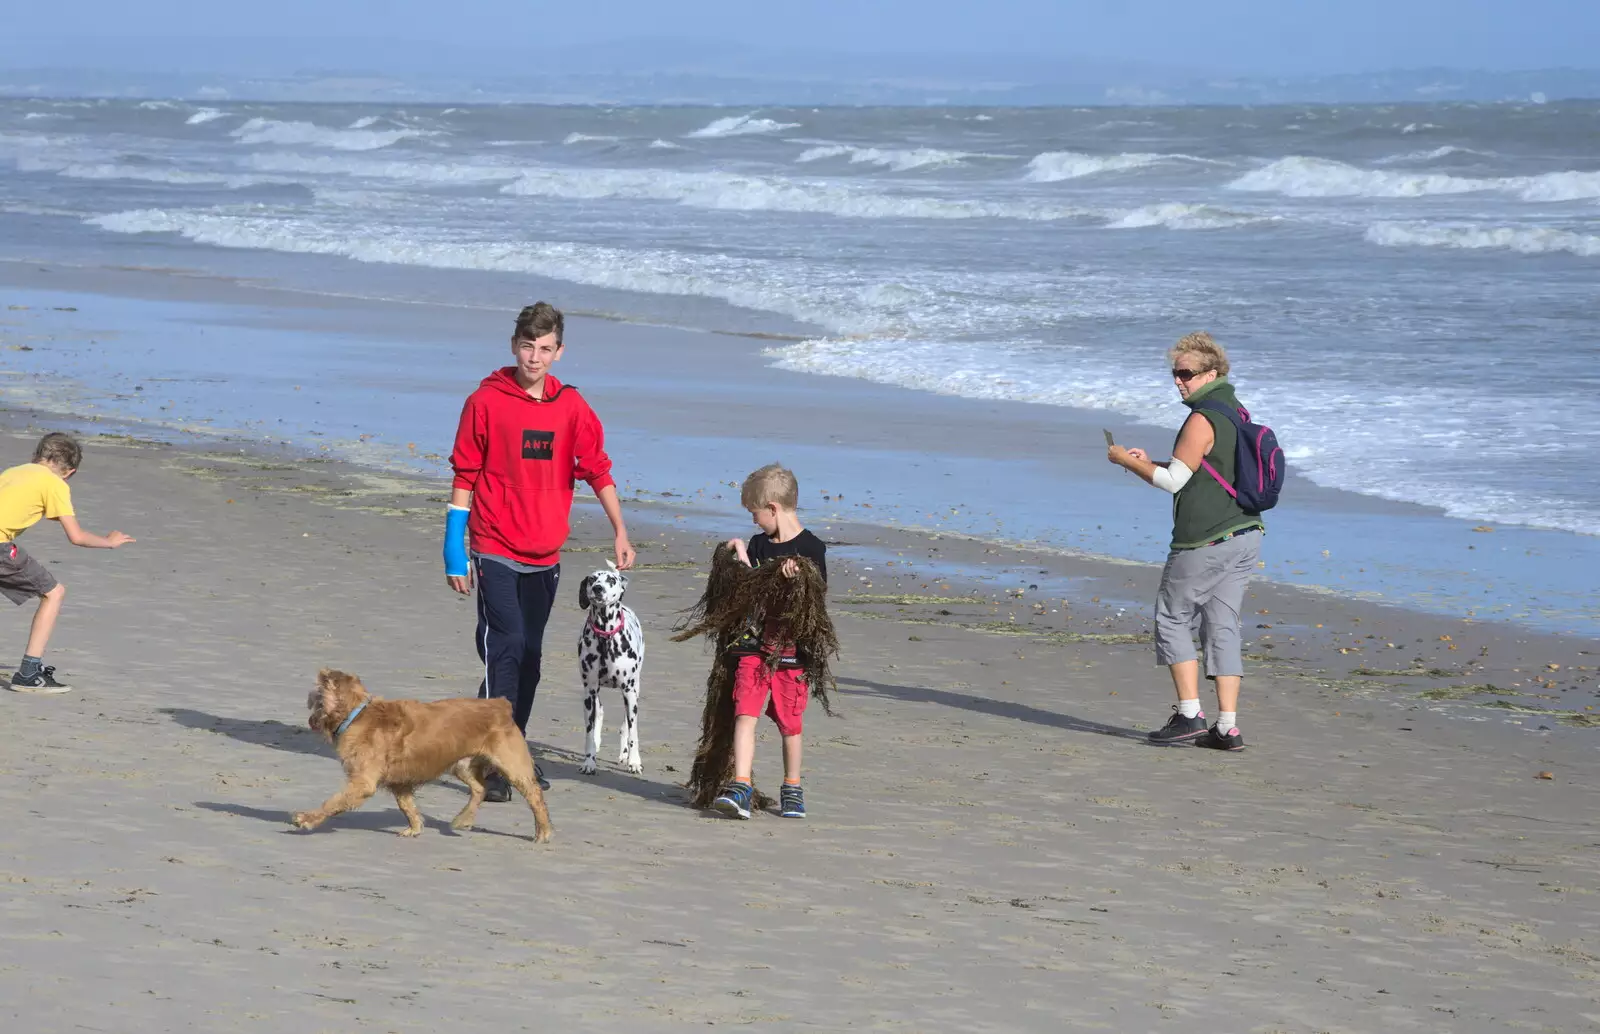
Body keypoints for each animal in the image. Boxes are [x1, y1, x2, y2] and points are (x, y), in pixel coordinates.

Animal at [294, 672, 550, 845]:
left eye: (314, 701)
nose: (310, 719)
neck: (357, 715)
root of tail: (500, 705)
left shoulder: (363, 782)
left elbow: (333, 802)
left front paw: (306, 818)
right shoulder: (400, 783)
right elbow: (407, 806)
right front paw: (415, 828)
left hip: (512, 766)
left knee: (535, 795)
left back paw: (543, 832)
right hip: (461, 765)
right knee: (480, 788)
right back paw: (462, 820)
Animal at [582, 560, 643, 777]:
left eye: (610, 580)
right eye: (592, 579)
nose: (597, 588)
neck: (605, 637)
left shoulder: (629, 692)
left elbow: (633, 731)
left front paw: (634, 761)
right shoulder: (589, 691)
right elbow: (589, 732)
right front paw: (589, 761)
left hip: (635, 690)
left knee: (627, 724)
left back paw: (625, 755)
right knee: (599, 713)